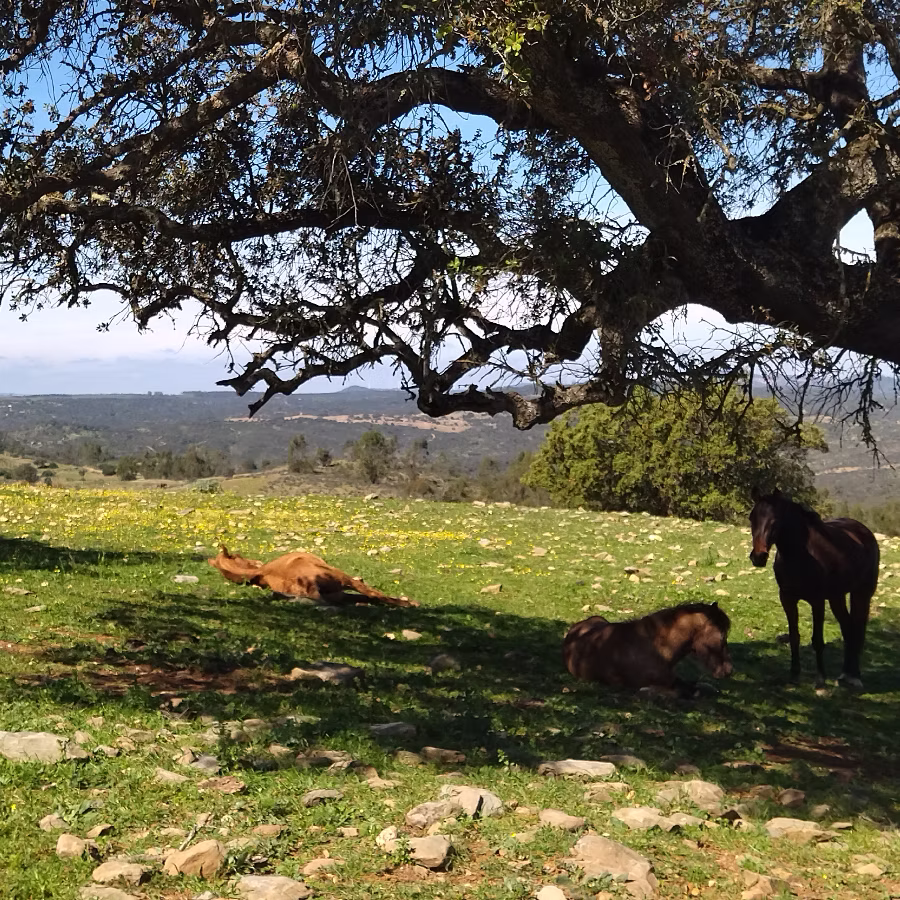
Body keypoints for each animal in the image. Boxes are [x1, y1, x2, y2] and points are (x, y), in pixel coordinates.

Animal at [748, 488, 879, 689]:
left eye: (775, 521)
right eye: (751, 518)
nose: (758, 557)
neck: (800, 555)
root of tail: (864, 532)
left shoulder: (817, 601)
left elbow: (817, 640)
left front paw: (820, 680)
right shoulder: (787, 598)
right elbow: (794, 636)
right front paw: (794, 675)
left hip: (861, 594)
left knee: (857, 630)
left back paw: (854, 676)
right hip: (836, 597)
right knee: (848, 628)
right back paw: (844, 674)